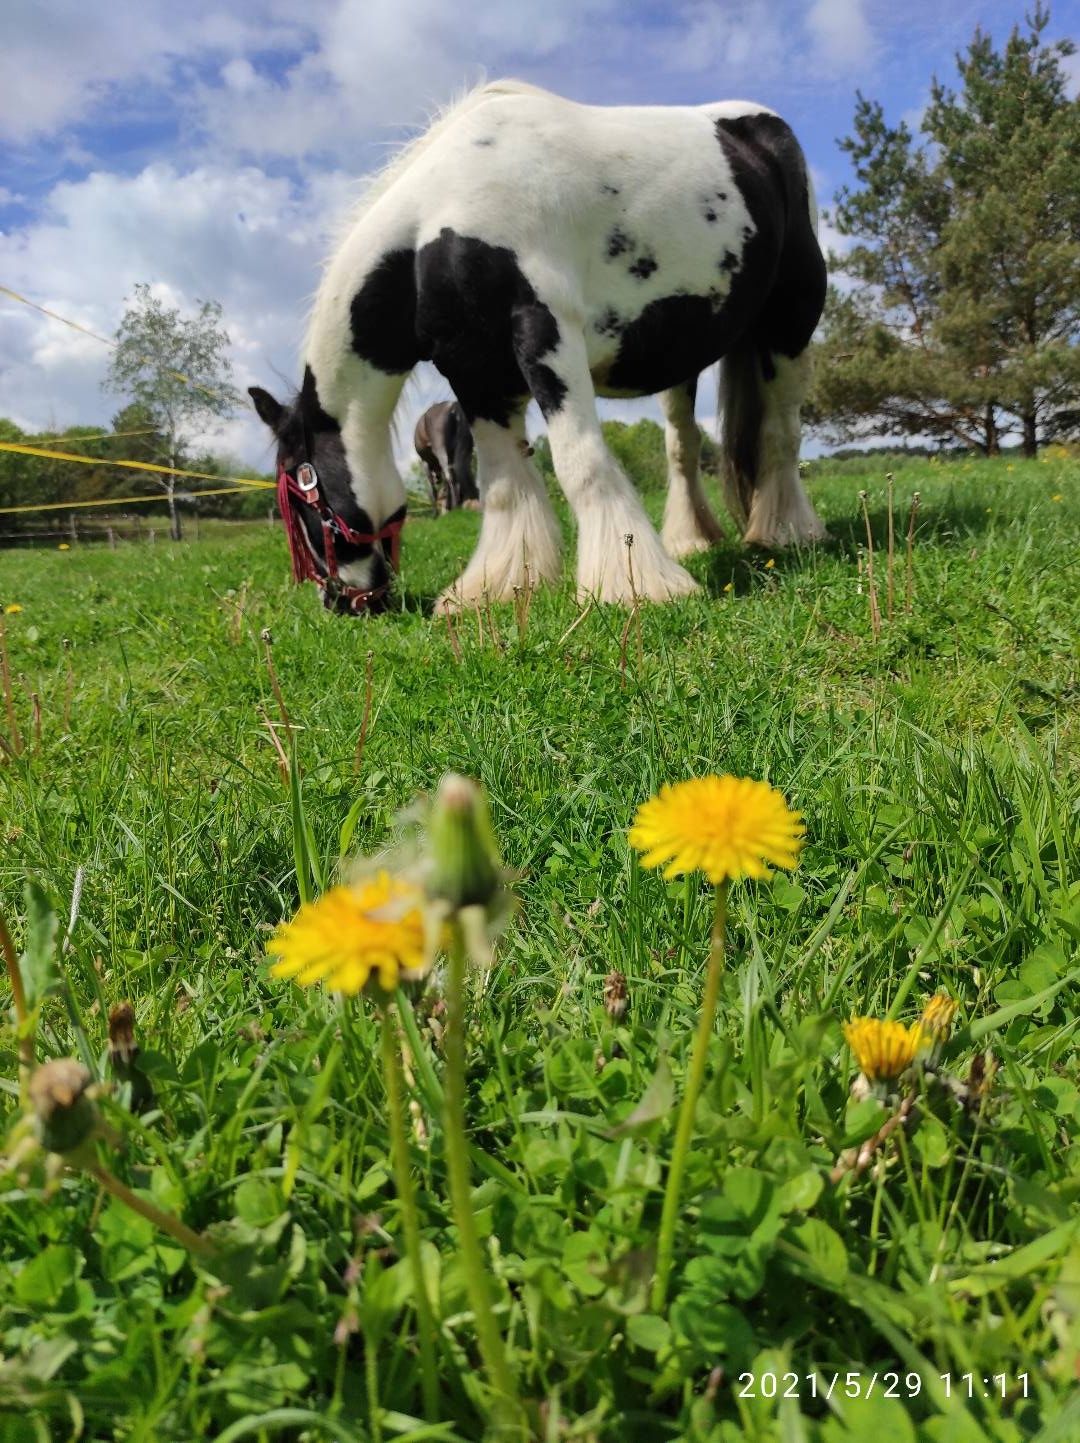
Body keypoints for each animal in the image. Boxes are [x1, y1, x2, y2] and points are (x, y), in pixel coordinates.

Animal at [251, 80, 825, 608]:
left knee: (780, 432)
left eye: (301, 501)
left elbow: (581, 460)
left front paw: (634, 585)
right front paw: (499, 584)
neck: (441, 221)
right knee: (683, 447)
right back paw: (692, 540)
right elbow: (504, 481)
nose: (342, 602)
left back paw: (783, 532)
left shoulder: (544, 333)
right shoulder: (473, 371)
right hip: (681, 360)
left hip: (791, 324)